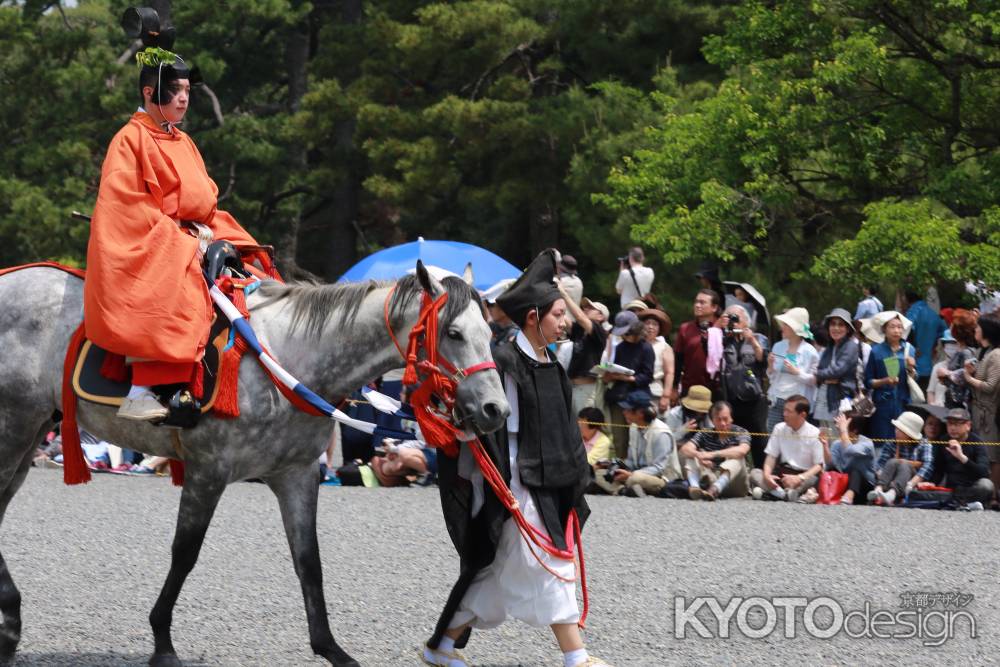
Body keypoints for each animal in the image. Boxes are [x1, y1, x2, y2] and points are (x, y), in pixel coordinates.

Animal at [0, 264, 504, 667]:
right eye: (454, 334)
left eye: (491, 334)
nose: (496, 409)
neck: (290, 360)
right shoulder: (208, 470)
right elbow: (185, 554)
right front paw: (162, 641)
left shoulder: (297, 475)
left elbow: (309, 562)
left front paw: (330, 649)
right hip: (15, 426)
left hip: (30, 432)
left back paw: (10, 619)